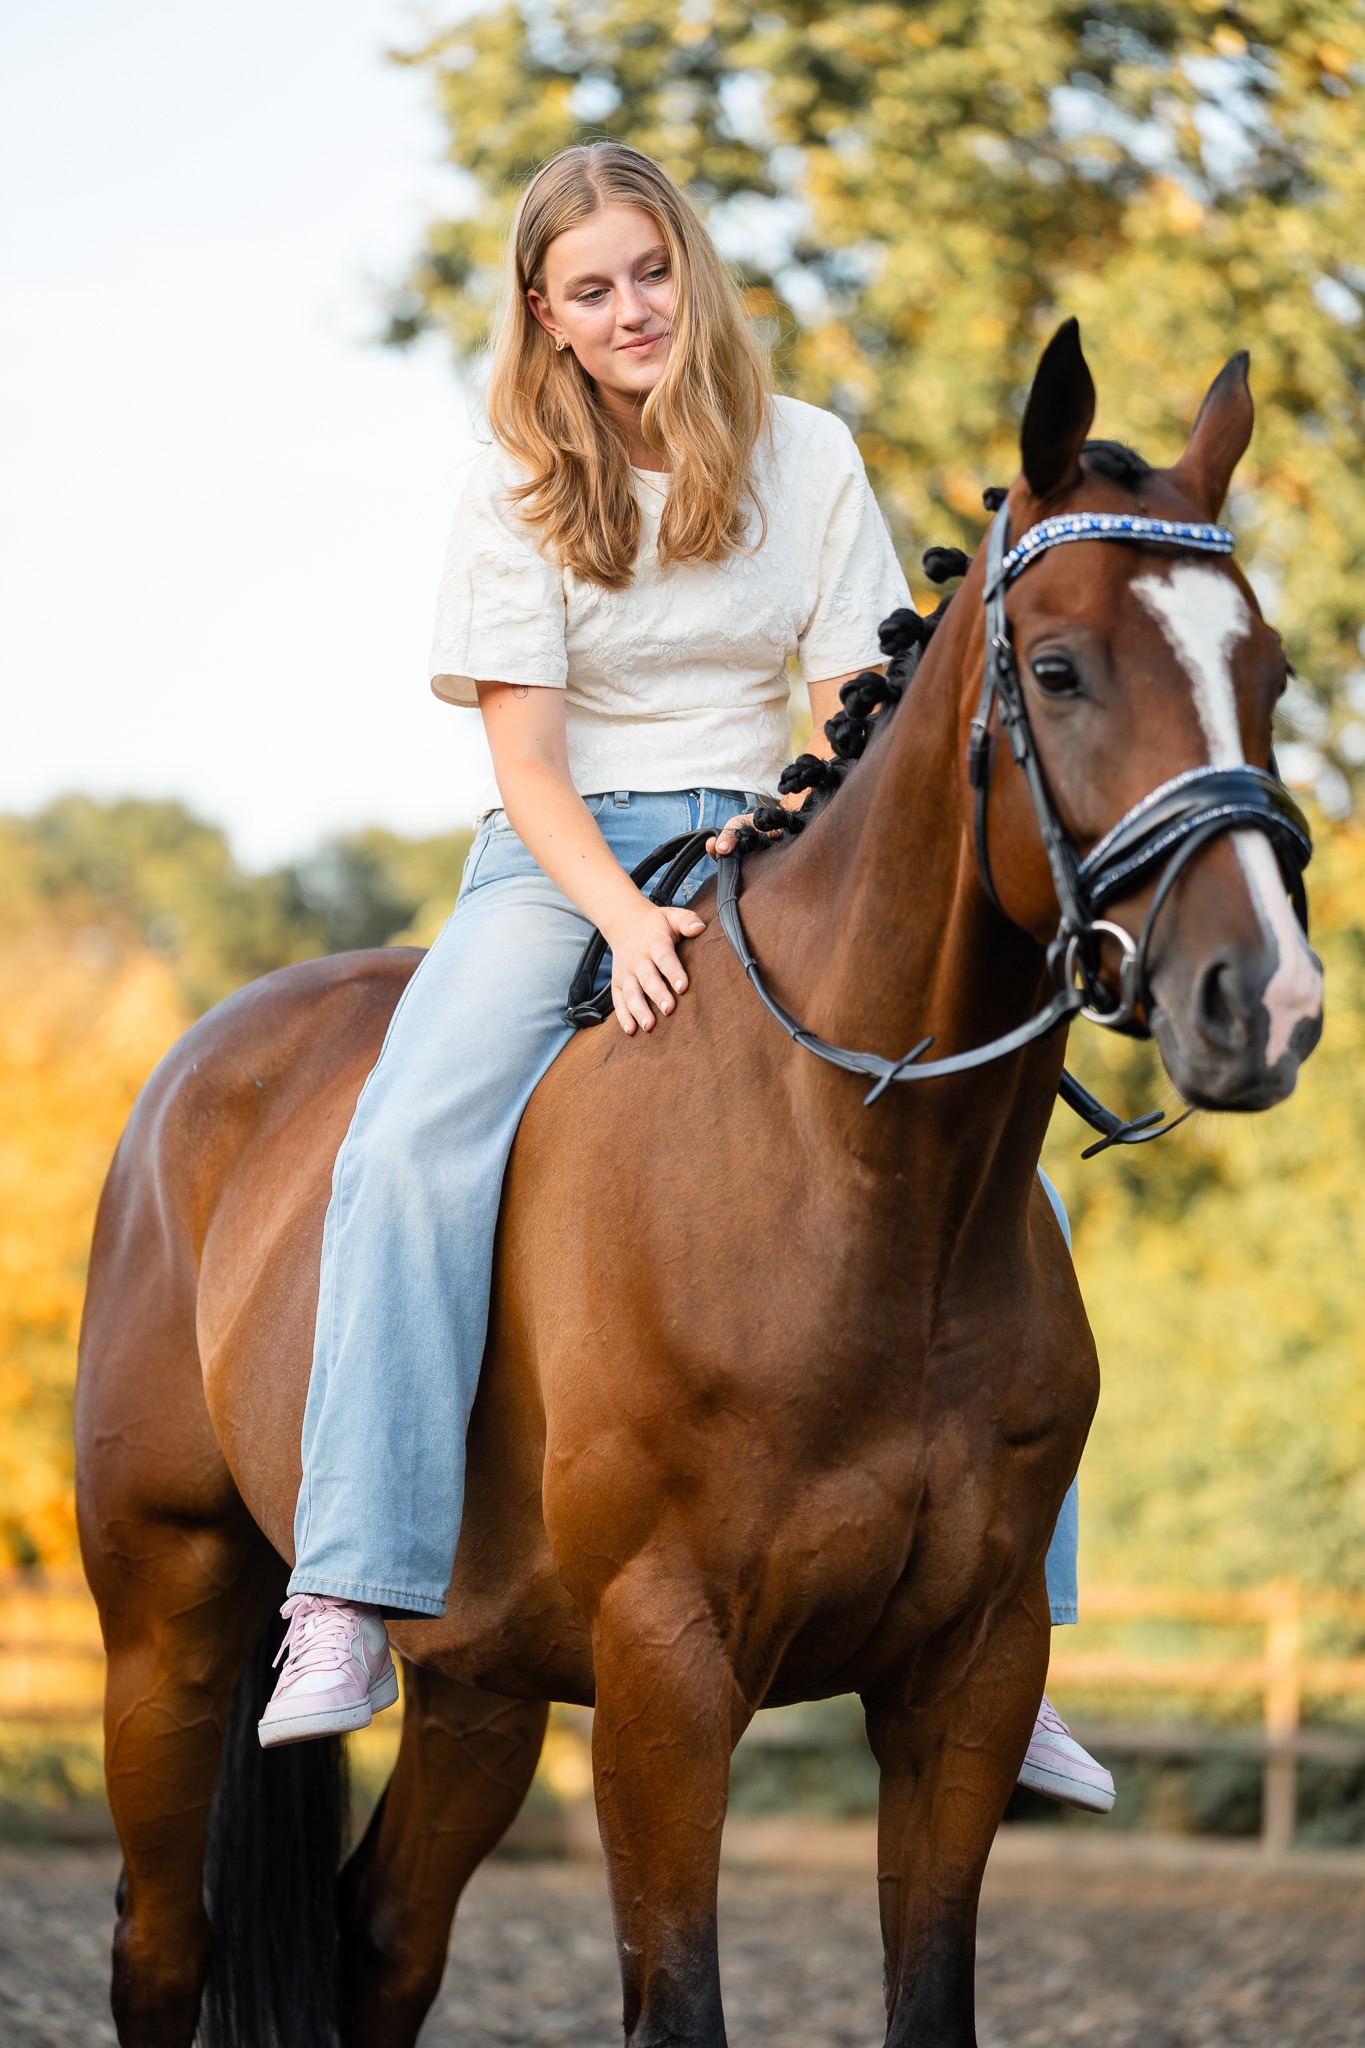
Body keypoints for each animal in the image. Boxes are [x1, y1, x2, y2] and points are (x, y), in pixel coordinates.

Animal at [75, 320, 1322, 2048]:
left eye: (1268, 674)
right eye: (1061, 670)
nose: (1261, 1002)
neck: (851, 1184)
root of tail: (198, 1071)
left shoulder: (970, 1675)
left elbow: (930, 1995)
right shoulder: (667, 1675)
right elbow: (678, 2003)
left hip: (477, 1689)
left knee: (382, 1937)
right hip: (170, 1624)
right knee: (160, 1944)